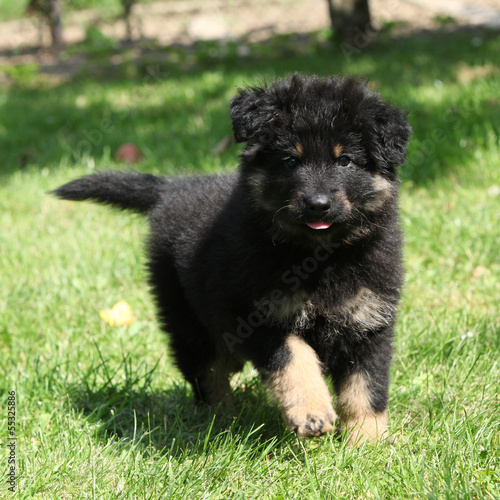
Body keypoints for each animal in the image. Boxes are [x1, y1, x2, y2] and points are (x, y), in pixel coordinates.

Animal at [54, 74, 410, 446]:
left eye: (345, 161)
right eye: (290, 160)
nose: (318, 205)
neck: (317, 256)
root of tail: (172, 189)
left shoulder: (370, 322)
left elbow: (366, 387)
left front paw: (367, 442)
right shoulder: (256, 315)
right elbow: (295, 359)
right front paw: (312, 413)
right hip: (188, 322)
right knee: (207, 375)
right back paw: (220, 423)